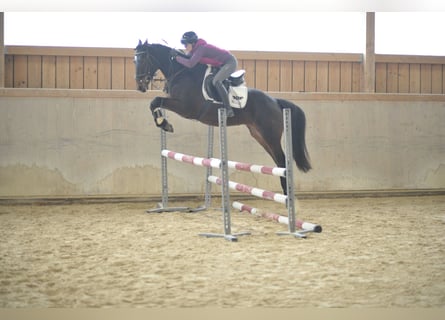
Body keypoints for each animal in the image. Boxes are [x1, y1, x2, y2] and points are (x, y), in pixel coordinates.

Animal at [134, 40, 310, 195]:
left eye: (142, 59)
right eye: (134, 59)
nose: (140, 86)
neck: (181, 72)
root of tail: (275, 101)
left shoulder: (186, 108)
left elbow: (155, 101)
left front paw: (164, 124)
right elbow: (155, 103)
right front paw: (162, 122)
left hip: (270, 135)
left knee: (282, 160)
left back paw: (287, 194)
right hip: (259, 135)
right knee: (278, 161)